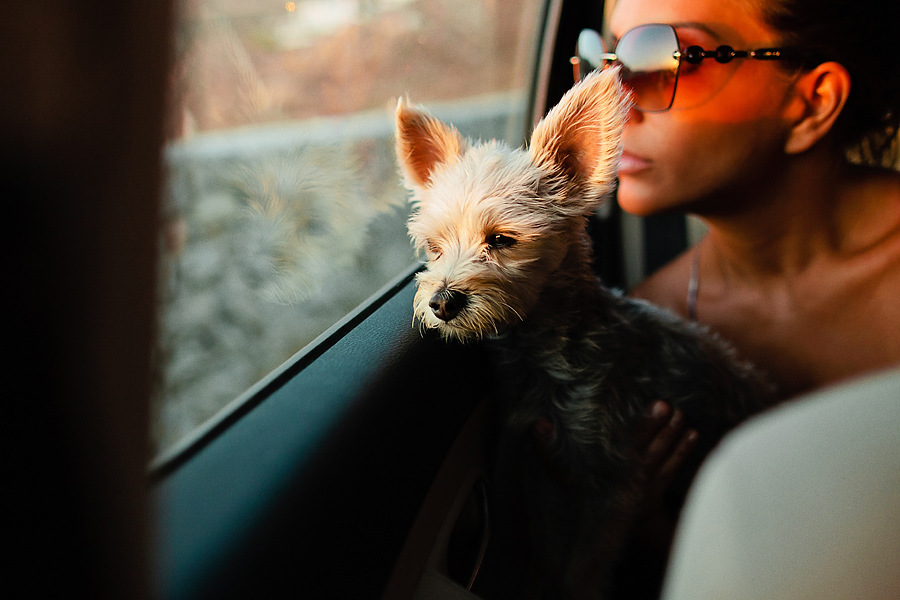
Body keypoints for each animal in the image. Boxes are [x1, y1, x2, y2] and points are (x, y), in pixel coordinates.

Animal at [394, 69, 772, 596]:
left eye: (502, 240)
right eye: (432, 246)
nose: (443, 302)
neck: (547, 349)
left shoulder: (612, 486)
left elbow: (583, 571)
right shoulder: (542, 469)